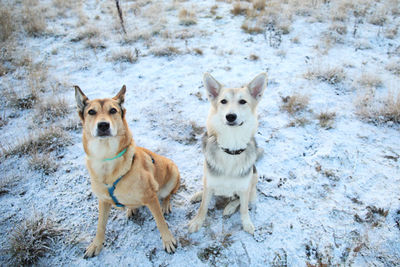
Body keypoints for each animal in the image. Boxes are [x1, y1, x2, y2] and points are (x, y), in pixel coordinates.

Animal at [74, 86, 180, 258]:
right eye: (91, 112)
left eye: (113, 110)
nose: (103, 125)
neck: (107, 159)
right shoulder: (103, 201)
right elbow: (100, 226)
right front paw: (95, 245)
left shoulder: (151, 197)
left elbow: (160, 222)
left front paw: (168, 240)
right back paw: (131, 208)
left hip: (173, 173)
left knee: (167, 195)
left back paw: (165, 205)